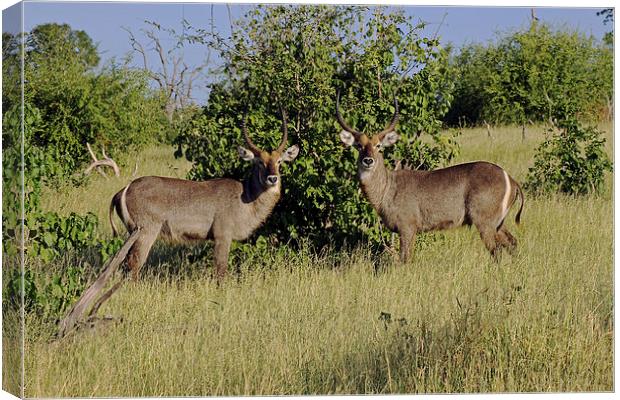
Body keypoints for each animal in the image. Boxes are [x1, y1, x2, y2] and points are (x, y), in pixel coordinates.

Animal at [109, 112, 300, 282]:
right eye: (259, 161)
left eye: (279, 161)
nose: (273, 179)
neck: (246, 197)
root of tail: (124, 189)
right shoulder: (222, 236)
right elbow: (221, 272)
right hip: (146, 231)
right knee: (134, 264)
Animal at [334, 93, 524, 262]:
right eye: (359, 146)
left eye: (378, 145)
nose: (368, 160)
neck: (387, 189)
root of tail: (510, 179)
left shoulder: (407, 228)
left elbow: (405, 259)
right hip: (498, 223)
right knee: (512, 243)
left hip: (485, 222)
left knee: (496, 252)